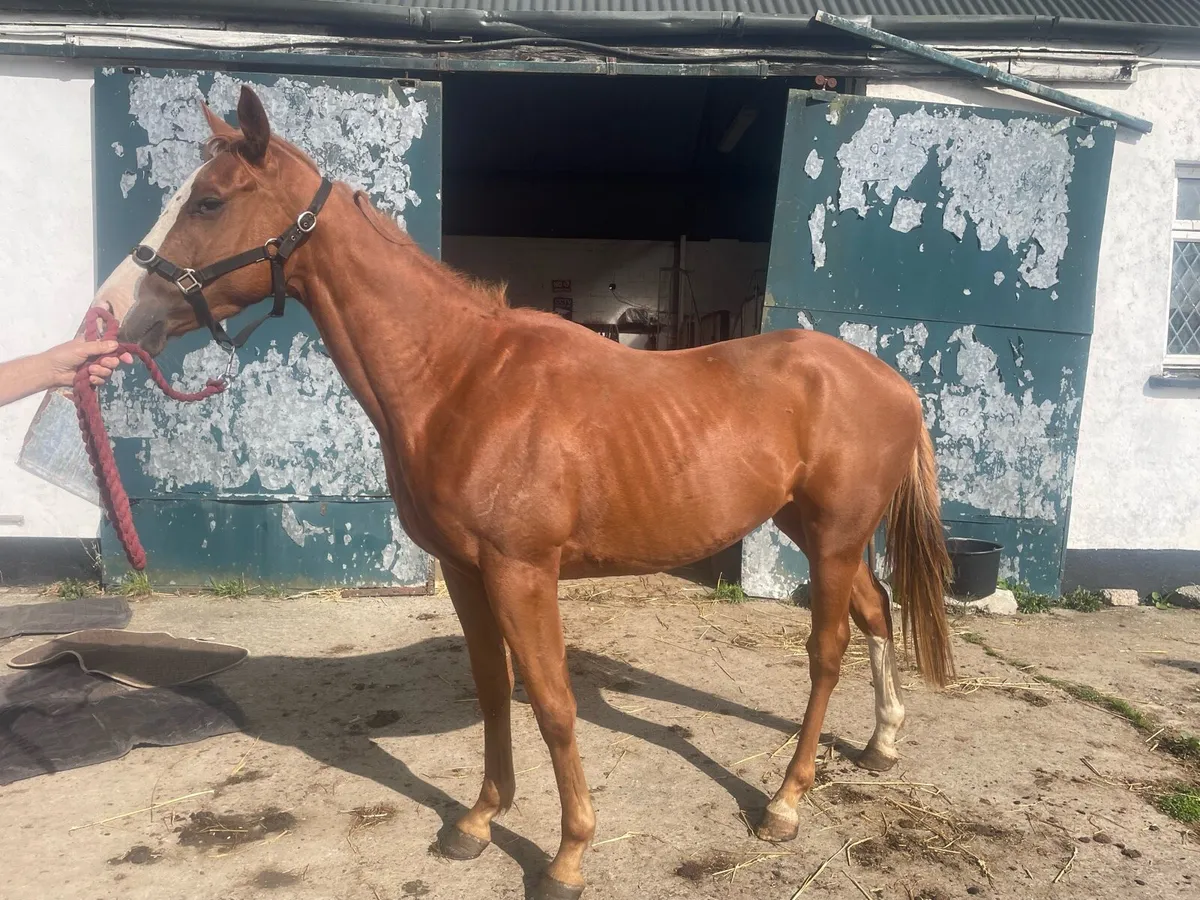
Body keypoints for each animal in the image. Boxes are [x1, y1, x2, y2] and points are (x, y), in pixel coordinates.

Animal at [96, 85, 955, 900]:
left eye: (210, 201)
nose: (110, 315)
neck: (460, 378)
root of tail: (891, 381)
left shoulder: (522, 573)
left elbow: (551, 704)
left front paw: (568, 855)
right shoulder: (467, 573)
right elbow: (492, 690)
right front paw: (477, 821)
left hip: (833, 538)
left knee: (827, 654)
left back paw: (784, 802)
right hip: (817, 532)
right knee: (876, 611)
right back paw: (882, 743)